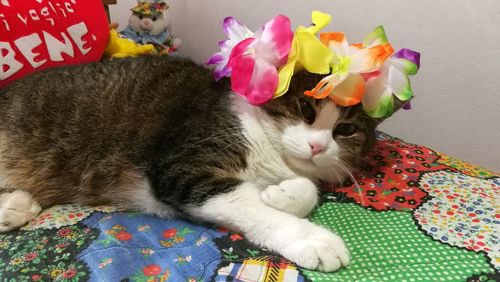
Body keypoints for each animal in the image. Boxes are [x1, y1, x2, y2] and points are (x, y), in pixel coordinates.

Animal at [0, 56, 384, 272]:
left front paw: (282, 195)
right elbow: (249, 204)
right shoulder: (183, 167)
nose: (316, 146)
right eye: (306, 110)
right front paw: (312, 239)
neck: (273, 153)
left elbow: (305, 189)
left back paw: (15, 206)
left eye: (345, 130)